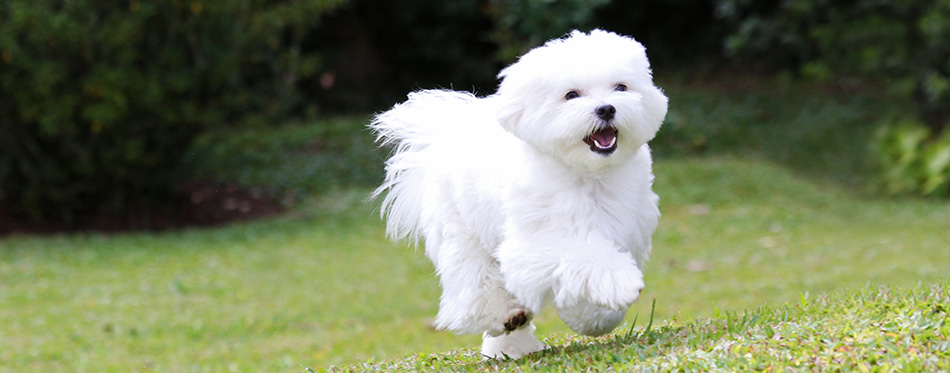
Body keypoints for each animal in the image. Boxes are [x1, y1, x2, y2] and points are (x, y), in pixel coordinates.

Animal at [370, 29, 668, 358]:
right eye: (571, 95)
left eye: (621, 87)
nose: (606, 108)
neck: (588, 176)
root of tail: (448, 131)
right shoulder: (535, 245)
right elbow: (582, 257)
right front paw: (621, 284)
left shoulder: (629, 232)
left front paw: (595, 317)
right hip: (462, 233)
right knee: (478, 284)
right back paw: (505, 316)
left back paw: (509, 344)